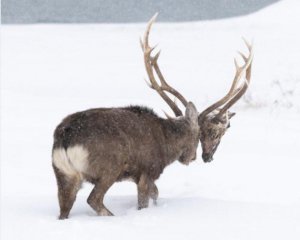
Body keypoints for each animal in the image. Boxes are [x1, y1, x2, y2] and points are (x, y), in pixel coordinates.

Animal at [52, 13, 253, 219]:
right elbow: (147, 199)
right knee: (93, 199)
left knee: (64, 208)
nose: (197, 157)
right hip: (109, 167)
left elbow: (156, 194)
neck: (167, 145)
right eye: (202, 134)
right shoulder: (148, 170)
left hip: (63, 173)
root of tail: (66, 140)